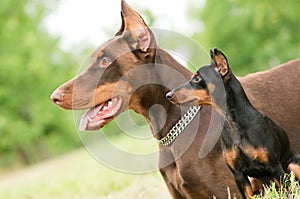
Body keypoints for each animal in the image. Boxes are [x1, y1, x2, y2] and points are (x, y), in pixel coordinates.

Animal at [166, 48, 300, 199]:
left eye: (197, 78)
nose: (168, 95)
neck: (234, 124)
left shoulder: (275, 167)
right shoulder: (239, 176)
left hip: (293, 166)